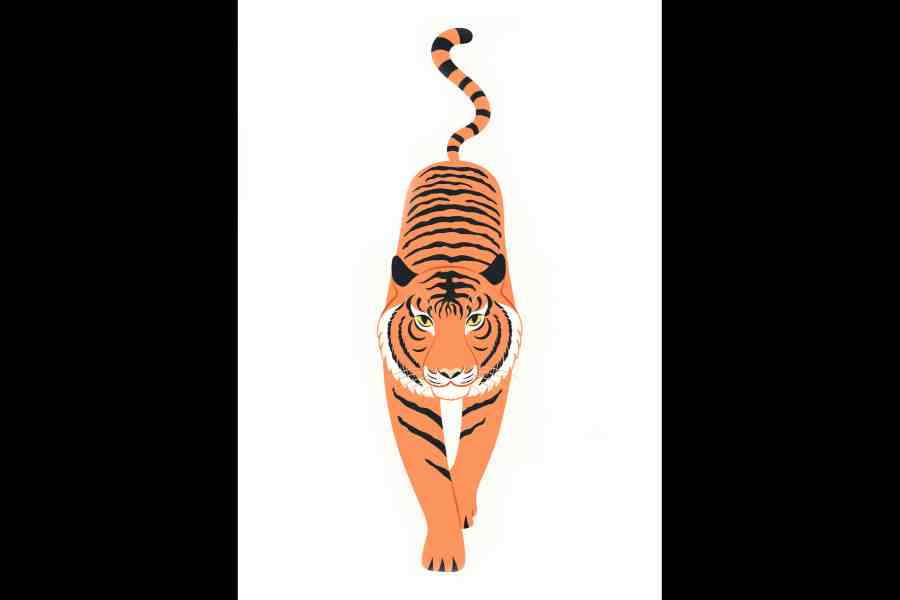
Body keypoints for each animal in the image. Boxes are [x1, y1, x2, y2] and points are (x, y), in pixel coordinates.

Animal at [377, 27, 522, 572]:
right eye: (423, 321)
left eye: (476, 319)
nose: (452, 375)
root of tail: (452, 160)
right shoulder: (407, 398)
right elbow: (430, 471)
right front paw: (443, 553)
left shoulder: (493, 389)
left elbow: (474, 451)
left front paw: (462, 509)